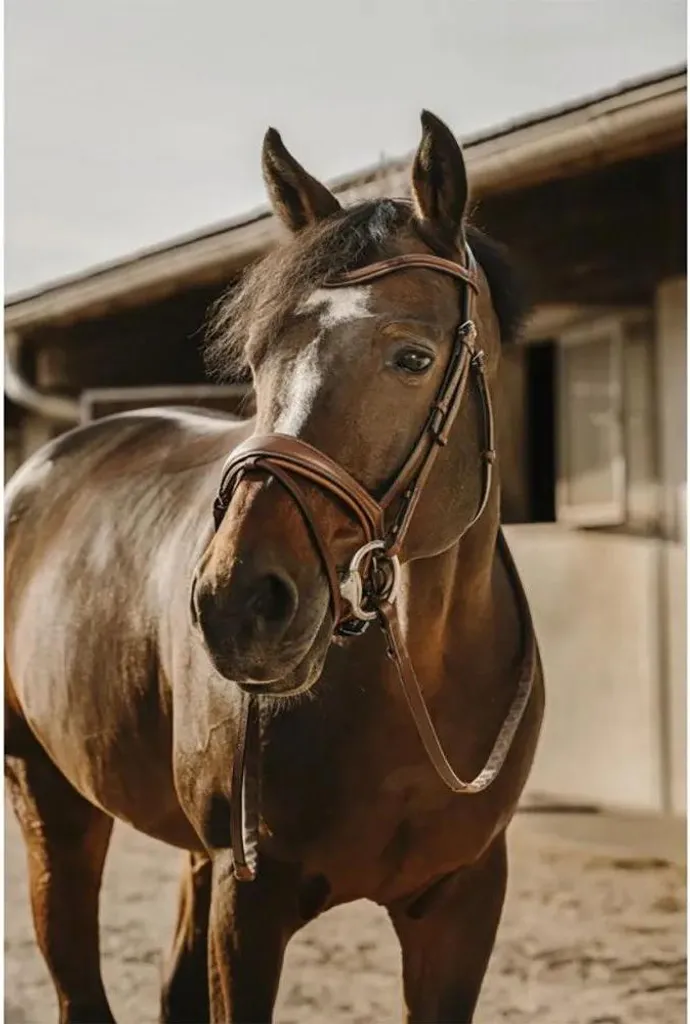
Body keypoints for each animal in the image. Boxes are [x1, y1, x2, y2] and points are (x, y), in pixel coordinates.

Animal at [5, 110, 544, 1024]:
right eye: (259, 361)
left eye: (412, 357)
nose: (237, 603)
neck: (420, 679)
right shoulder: (248, 898)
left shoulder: (464, 901)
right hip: (52, 799)